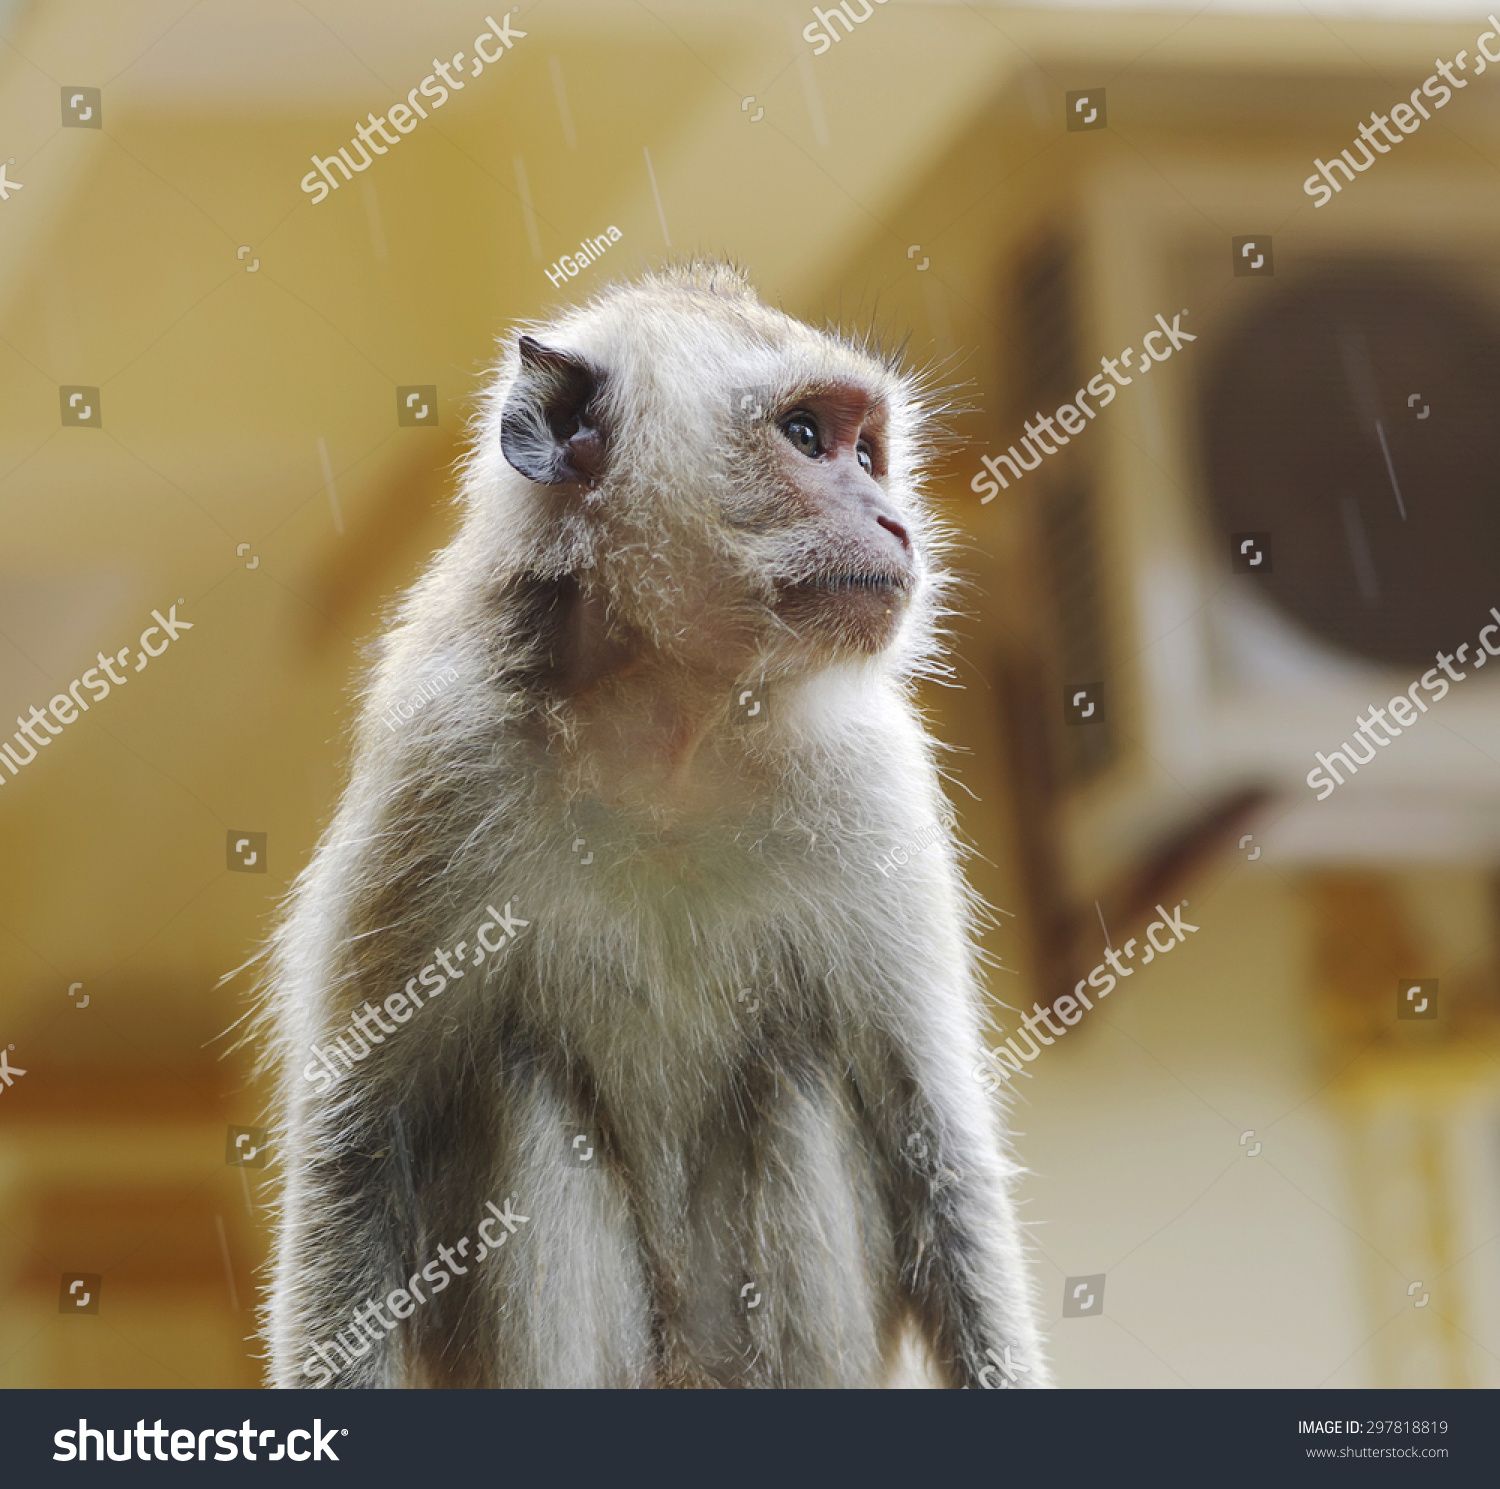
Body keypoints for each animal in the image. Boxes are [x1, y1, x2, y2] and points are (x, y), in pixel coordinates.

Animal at [258, 261, 1049, 1389]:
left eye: (868, 454)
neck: (672, 725)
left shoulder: (875, 778)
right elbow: (360, 1140)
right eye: (807, 436)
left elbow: (934, 1138)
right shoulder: (439, 752)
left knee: (797, 1074)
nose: (896, 523)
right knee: (525, 1084)